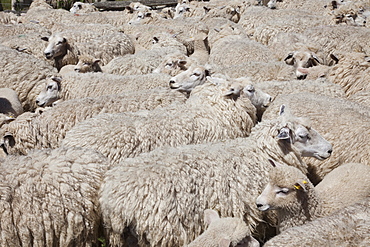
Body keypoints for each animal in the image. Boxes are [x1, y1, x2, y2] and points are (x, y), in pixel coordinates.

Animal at [97, 105, 332, 246]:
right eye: (303, 135)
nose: (329, 149)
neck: (260, 152)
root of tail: (114, 199)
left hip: (123, 237)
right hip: (163, 233)